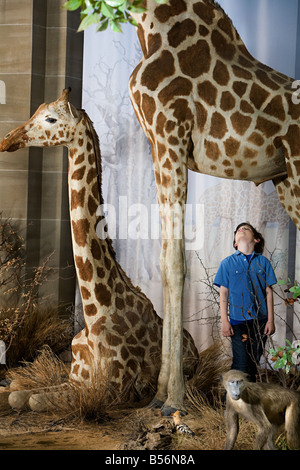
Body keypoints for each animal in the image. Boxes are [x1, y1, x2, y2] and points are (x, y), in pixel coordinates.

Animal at [0, 88, 199, 412]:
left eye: (50, 118)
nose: (7, 139)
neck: (95, 312)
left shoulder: (112, 390)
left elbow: (33, 400)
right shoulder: (76, 378)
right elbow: (20, 394)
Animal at [126, 0, 300, 414]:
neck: (151, 21)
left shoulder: (171, 133)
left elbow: (177, 263)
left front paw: (174, 399)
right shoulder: (158, 144)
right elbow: (165, 261)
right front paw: (158, 394)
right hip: (287, 178)